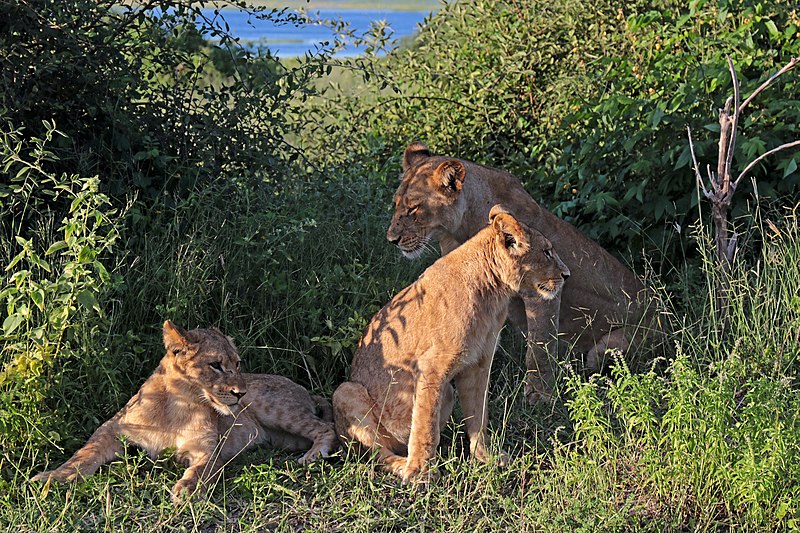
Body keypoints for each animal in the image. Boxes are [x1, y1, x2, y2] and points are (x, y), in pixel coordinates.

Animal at [30, 320, 338, 502]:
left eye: (238, 364)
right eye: (216, 365)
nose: (241, 393)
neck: (179, 404)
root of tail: (303, 389)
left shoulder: (207, 449)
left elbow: (200, 469)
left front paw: (186, 489)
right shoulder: (113, 427)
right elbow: (84, 454)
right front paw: (52, 477)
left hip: (275, 409)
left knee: (328, 428)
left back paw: (312, 456)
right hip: (282, 437)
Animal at [332, 205, 568, 482]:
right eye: (547, 251)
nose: (566, 275)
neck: (493, 294)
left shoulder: (478, 364)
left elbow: (478, 413)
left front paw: (486, 457)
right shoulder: (431, 367)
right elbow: (425, 425)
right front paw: (421, 473)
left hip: (447, 393)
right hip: (345, 391)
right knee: (376, 455)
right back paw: (403, 465)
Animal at [388, 141, 656, 404]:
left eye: (413, 208)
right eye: (396, 204)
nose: (392, 240)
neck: (461, 227)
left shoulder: (542, 290)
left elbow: (538, 347)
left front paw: (540, 395)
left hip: (610, 347)